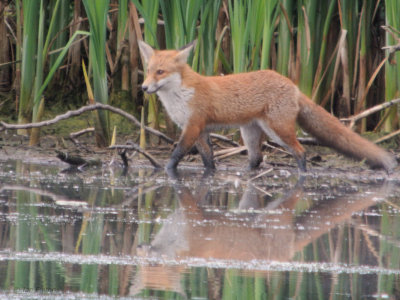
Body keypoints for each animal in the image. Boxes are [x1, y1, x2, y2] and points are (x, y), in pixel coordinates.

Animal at [138, 40, 396, 172]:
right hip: (250, 132)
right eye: (148, 70)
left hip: (278, 131)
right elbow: (208, 160)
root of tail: (292, 84)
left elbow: (176, 154)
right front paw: (210, 175)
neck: (180, 95)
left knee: (301, 152)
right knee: (257, 159)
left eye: (160, 72)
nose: (143, 87)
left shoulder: (192, 126)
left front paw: (164, 170)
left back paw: (302, 175)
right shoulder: (200, 130)